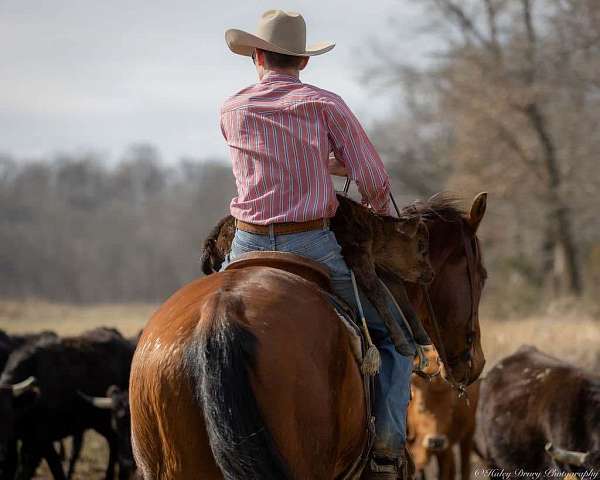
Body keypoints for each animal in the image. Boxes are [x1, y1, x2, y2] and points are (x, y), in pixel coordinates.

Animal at [0, 326, 134, 480]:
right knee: (113, 442)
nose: (0, 454)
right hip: (100, 422)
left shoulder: (40, 442)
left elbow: (46, 470)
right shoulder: (15, 442)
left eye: (7, 417)